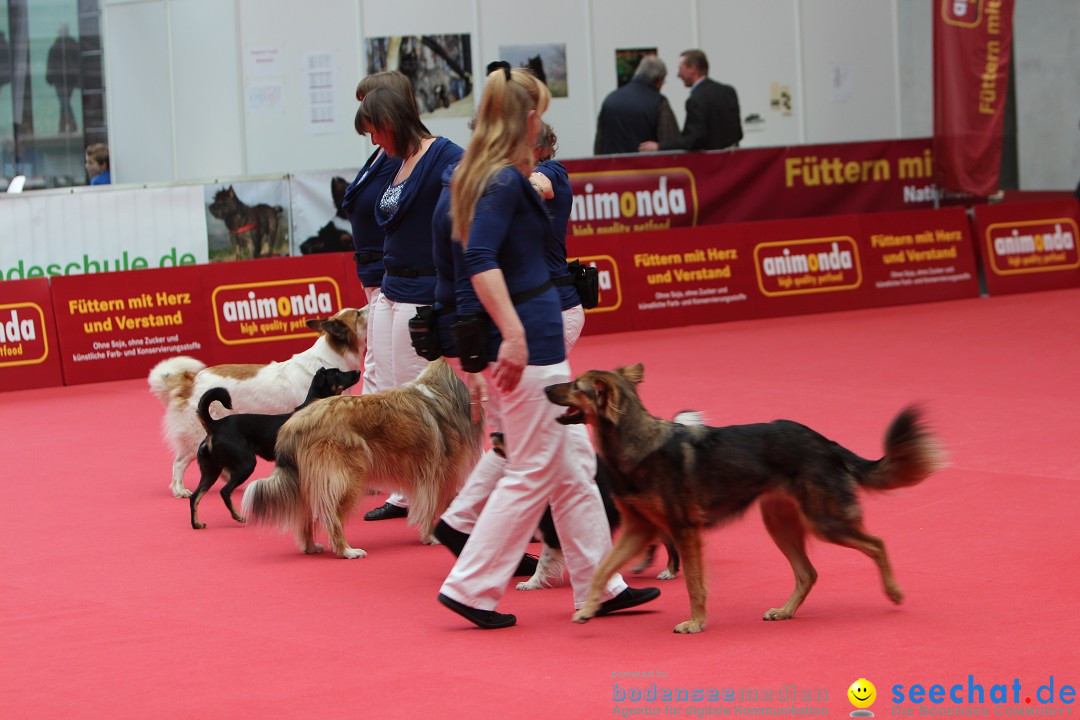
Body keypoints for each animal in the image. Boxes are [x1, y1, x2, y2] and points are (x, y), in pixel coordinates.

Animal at [191, 369, 362, 526]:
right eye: (337, 373)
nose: (358, 371)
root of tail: (215, 425)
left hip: (212, 470)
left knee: (195, 496)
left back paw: (196, 523)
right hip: (246, 464)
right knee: (225, 491)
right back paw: (238, 516)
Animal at [245, 360, 486, 557]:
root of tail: (294, 424)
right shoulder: (436, 475)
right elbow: (434, 508)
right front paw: (432, 537)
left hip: (309, 484)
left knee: (306, 516)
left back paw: (311, 547)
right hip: (347, 480)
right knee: (331, 518)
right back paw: (347, 551)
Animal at [544, 362, 941, 634]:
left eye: (575, 386)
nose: (546, 388)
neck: (636, 443)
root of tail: (825, 442)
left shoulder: (684, 531)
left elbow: (694, 584)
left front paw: (695, 623)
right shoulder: (638, 531)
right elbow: (601, 570)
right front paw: (587, 609)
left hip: (824, 521)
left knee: (877, 544)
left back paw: (894, 593)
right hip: (779, 523)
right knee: (808, 572)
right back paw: (785, 611)